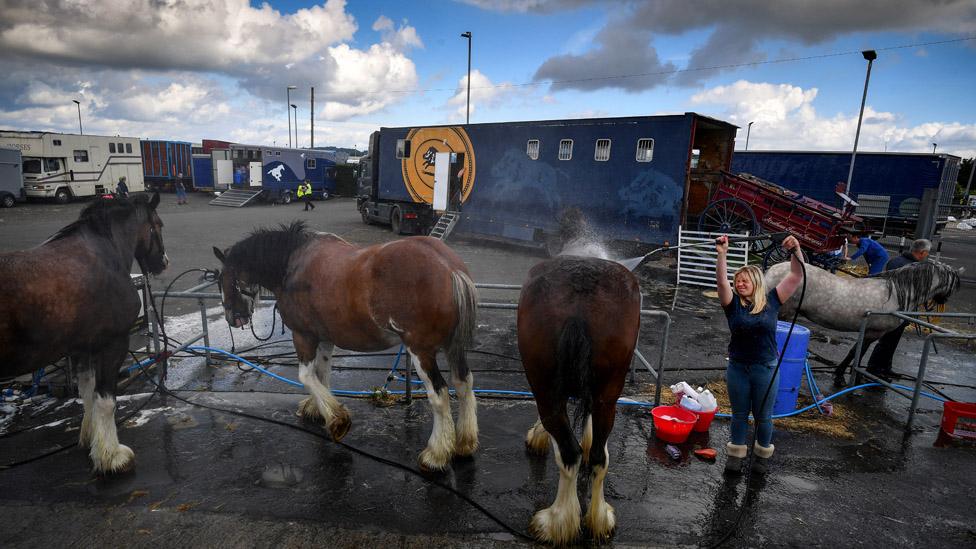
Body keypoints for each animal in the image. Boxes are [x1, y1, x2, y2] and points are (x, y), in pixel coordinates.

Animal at [0, 195, 167, 474]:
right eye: (159, 225)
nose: (164, 262)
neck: (105, 251)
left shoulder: (82, 347)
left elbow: (87, 392)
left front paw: (91, 439)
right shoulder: (113, 343)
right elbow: (105, 399)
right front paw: (111, 457)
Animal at [212, 223, 478, 470]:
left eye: (222, 280)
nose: (231, 318)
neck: (292, 265)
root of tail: (449, 267)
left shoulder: (303, 336)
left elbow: (306, 376)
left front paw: (338, 420)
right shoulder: (325, 338)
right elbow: (322, 374)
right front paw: (319, 409)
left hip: (421, 351)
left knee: (439, 395)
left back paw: (436, 454)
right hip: (452, 347)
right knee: (463, 384)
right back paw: (464, 443)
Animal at [520, 254, 640, 544]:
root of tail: (578, 304)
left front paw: (537, 437)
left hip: (544, 386)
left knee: (568, 453)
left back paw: (555, 523)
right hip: (609, 393)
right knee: (599, 457)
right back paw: (600, 520)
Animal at [768, 260, 964, 384]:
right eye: (953, 285)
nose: (943, 300)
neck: (896, 293)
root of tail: (773, 270)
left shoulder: (870, 332)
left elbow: (857, 352)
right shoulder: (872, 333)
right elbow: (857, 352)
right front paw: (841, 376)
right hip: (784, 313)